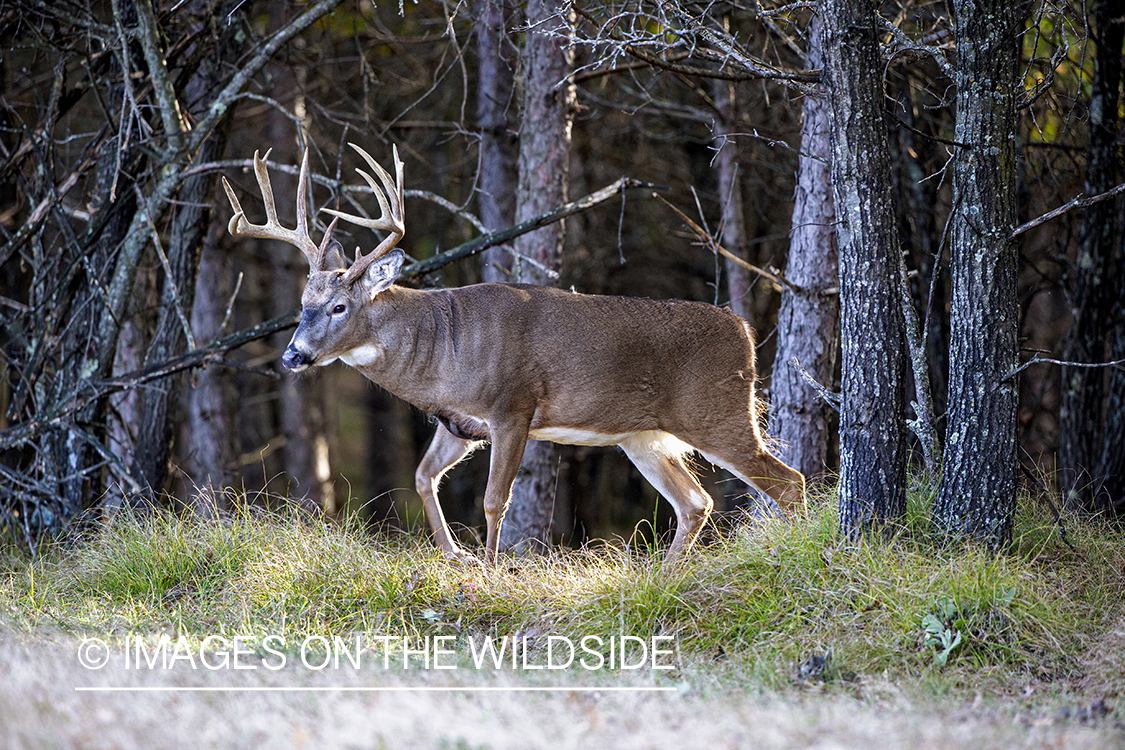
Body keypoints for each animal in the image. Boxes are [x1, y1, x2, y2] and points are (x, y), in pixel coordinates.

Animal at [221, 143, 801, 559]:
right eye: (302, 303)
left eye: (340, 306)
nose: (293, 356)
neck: (444, 348)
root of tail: (745, 331)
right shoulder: (458, 423)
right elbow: (423, 476)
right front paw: (454, 555)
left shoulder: (513, 407)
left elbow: (494, 499)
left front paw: (493, 567)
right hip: (643, 436)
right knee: (696, 501)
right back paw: (663, 577)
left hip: (716, 411)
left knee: (787, 482)